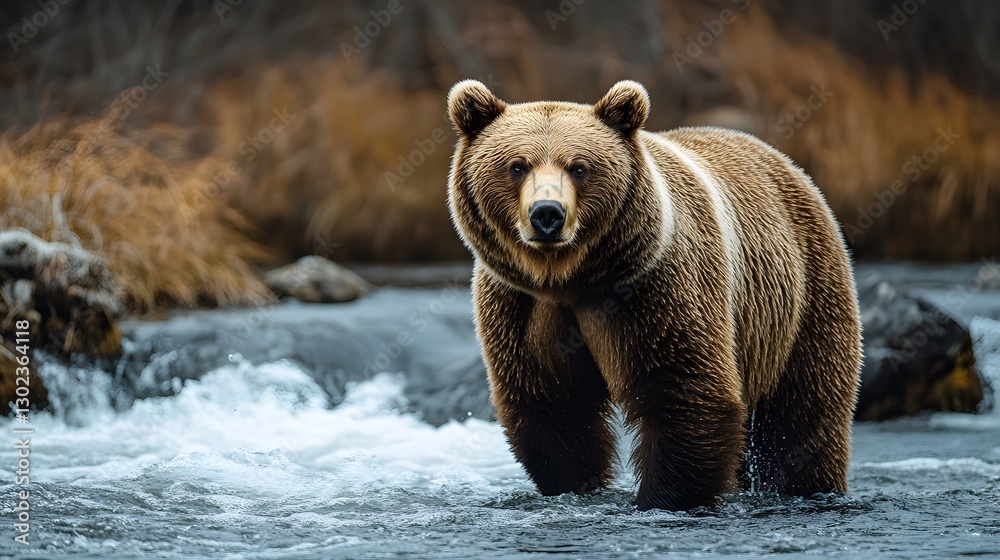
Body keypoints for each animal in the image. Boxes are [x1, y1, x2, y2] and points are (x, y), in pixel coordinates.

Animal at [446, 79, 862, 511]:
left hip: (802, 294)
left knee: (804, 410)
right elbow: (553, 403)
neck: (570, 277)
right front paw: (578, 484)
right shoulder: (521, 305)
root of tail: (781, 159)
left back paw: (809, 485)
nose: (547, 213)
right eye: (517, 166)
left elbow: (685, 389)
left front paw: (662, 497)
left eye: (579, 167)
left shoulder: (654, 289)